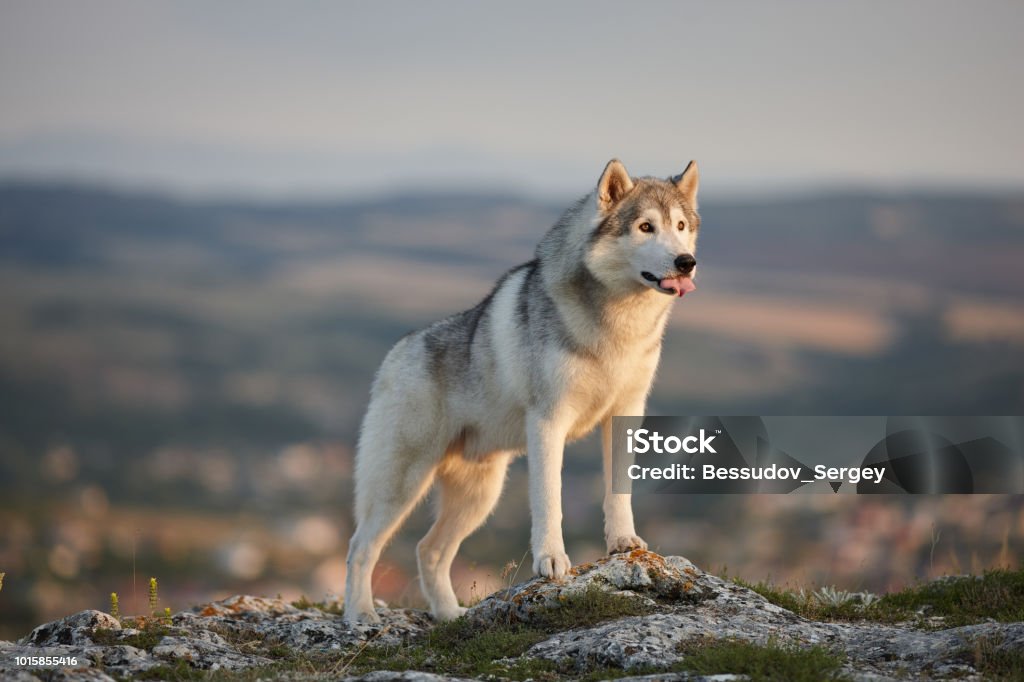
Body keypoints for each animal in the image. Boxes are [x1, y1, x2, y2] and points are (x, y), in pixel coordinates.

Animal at [342, 157, 696, 622]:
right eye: (645, 226)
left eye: (680, 225)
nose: (687, 261)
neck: (618, 325)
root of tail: (399, 350)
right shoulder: (548, 422)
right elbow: (550, 500)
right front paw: (551, 561)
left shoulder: (625, 414)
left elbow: (618, 492)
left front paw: (624, 544)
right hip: (401, 487)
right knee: (360, 547)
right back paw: (360, 615)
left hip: (479, 495)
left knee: (428, 551)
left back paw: (451, 617)